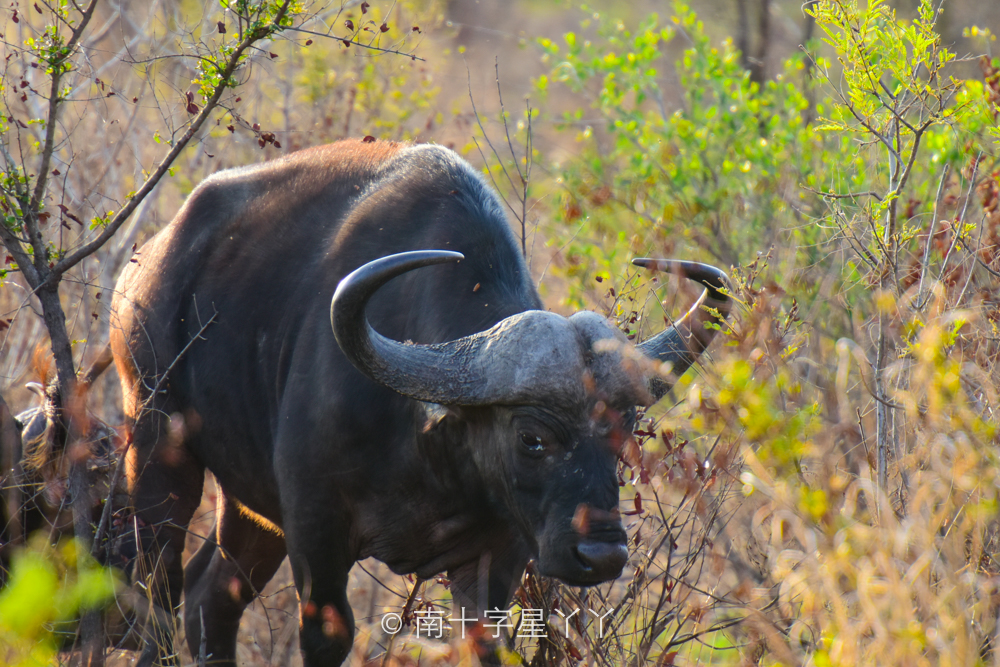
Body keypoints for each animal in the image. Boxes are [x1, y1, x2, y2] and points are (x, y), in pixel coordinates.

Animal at [109, 138, 732, 664]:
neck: (428, 449)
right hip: (155, 441)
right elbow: (327, 635)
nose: (601, 556)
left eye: (622, 435)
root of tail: (147, 263)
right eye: (531, 438)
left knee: (211, 596)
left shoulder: (499, 553)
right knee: (158, 588)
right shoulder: (316, 529)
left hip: (250, 505)